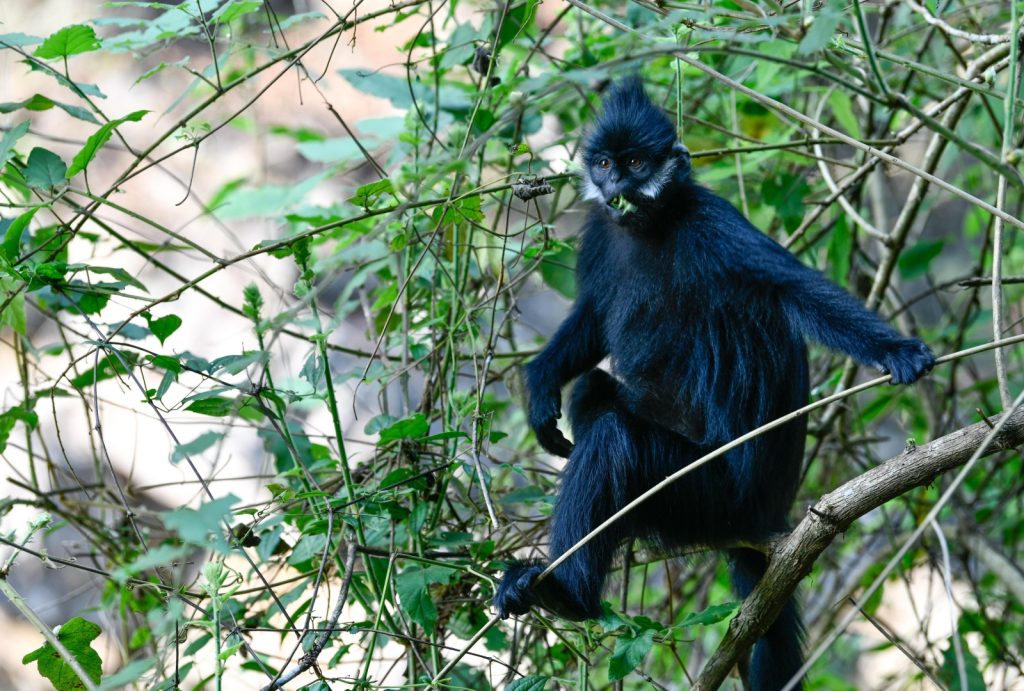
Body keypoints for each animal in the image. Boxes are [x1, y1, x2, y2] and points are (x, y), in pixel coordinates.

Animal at [493, 78, 935, 690]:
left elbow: (793, 289)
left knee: (614, 438)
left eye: (635, 162)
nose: (616, 184)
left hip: (710, 497)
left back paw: (569, 596)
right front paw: (538, 386)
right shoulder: (602, 233)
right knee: (592, 394)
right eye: (604, 162)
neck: (651, 227)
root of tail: (766, 518)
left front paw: (898, 351)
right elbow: (595, 315)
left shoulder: (713, 223)